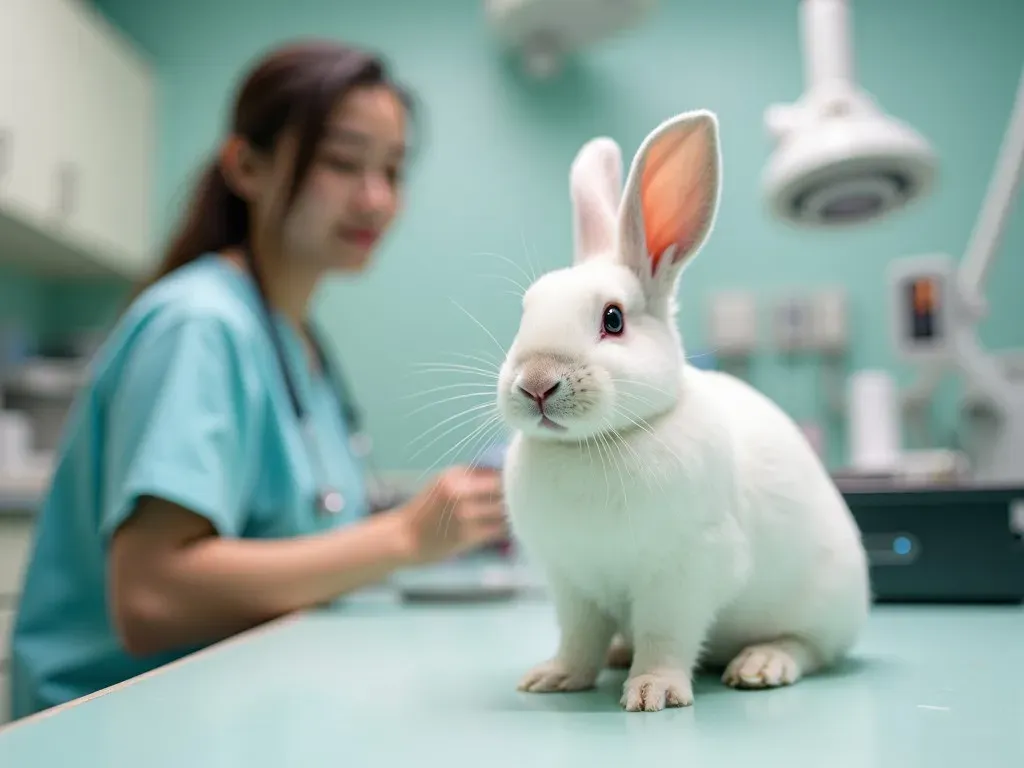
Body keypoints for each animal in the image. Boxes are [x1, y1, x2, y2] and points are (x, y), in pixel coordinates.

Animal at [495, 109, 872, 716]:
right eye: (526, 311)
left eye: (614, 319)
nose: (535, 384)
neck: (593, 445)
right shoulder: (572, 583)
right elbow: (578, 638)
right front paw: (554, 678)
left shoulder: (685, 573)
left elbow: (664, 636)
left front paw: (654, 692)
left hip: (822, 605)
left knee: (811, 649)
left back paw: (761, 665)